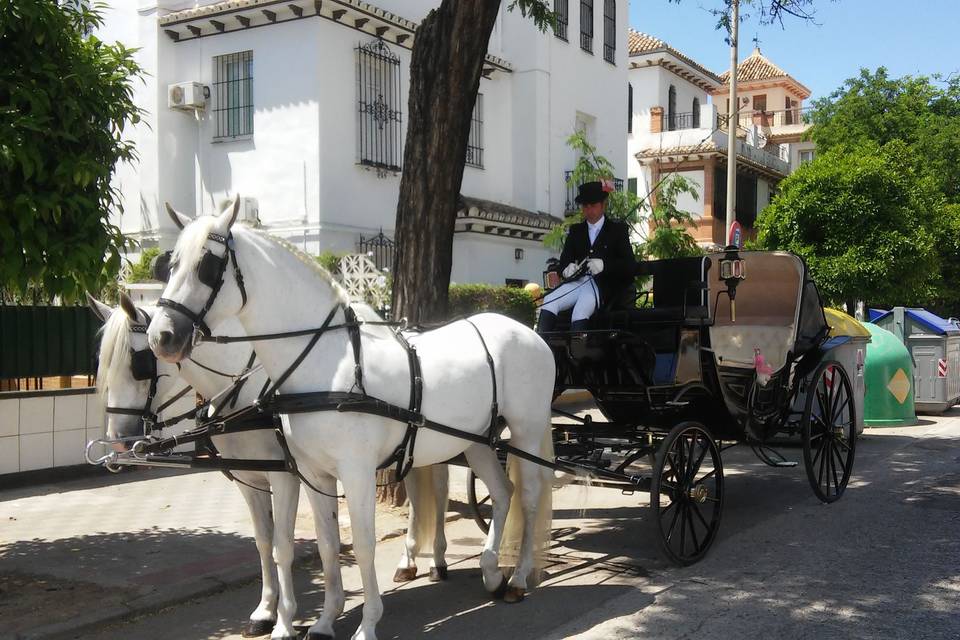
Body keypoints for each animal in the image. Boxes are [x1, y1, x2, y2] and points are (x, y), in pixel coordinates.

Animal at [88, 292, 344, 636]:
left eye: (137, 364)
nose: (117, 441)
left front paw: (285, 622)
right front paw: (265, 611)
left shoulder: (285, 477)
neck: (248, 395)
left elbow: (283, 547)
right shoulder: (249, 478)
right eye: (102, 365)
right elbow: (264, 542)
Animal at [148, 201, 556, 640]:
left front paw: (367, 623)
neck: (327, 364)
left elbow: (362, 544)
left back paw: (519, 577)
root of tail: (529, 333)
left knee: (530, 495)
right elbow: (326, 544)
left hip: (527, 433)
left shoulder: (353, 472)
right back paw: (492, 571)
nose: (162, 336)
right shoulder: (313, 473)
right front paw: (324, 620)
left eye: (208, 265)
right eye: (170, 264)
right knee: (501, 492)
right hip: (476, 440)